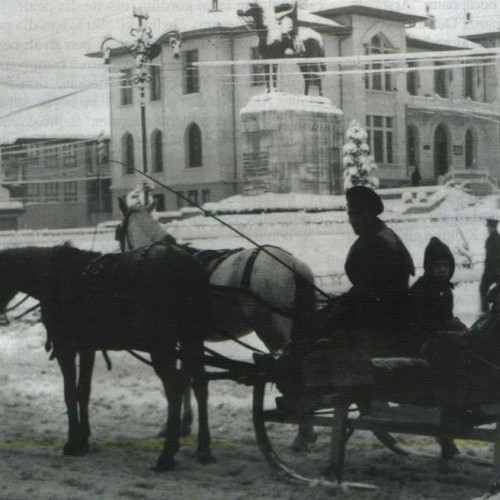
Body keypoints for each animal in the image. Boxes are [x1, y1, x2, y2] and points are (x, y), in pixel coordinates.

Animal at [0, 244, 212, 470]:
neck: (58, 277)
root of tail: (186, 264)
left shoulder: (66, 348)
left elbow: (69, 393)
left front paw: (72, 443)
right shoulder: (87, 349)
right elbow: (83, 392)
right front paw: (83, 440)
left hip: (162, 346)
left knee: (175, 388)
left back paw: (167, 455)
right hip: (191, 339)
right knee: (199, 384)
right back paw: (203, 448)